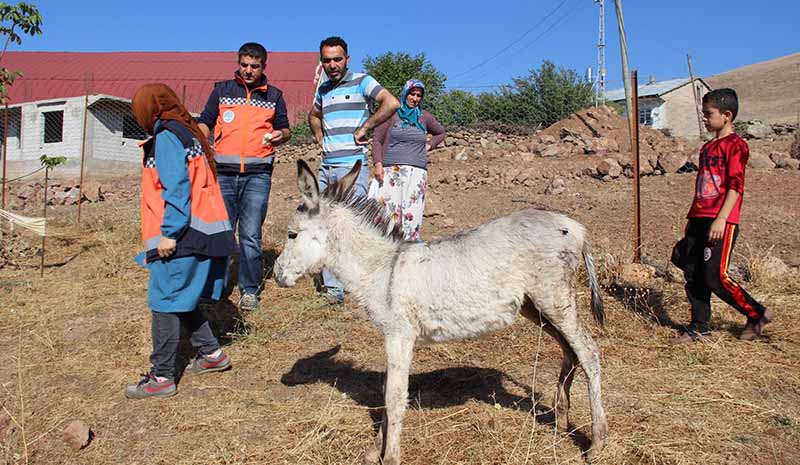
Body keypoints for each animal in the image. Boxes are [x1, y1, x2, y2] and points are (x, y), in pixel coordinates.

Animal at [276, 160, 608, 464]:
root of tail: (576, 227)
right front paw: (374, 450)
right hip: (535, 305)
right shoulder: (395, 338)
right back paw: (561, 421)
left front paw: (390, 457)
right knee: (570, 351)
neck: (383, 268)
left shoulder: (399, 336)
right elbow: (387, 389)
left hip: (554, 297)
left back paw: (596, 443)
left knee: (589, 353)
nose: (278, 275)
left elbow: (394, 396)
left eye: (292, 234)